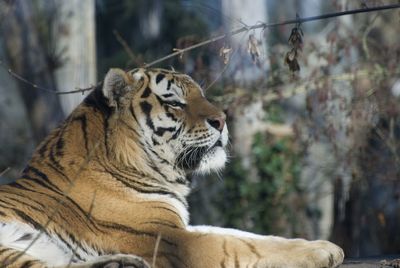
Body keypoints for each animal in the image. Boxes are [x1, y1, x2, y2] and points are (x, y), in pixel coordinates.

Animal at [0, 67, 344, 268]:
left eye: (201, 95)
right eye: (175, 103)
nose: (223, 120)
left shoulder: (179, 224)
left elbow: (249, 235)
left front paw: (325, 246)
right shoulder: (169, 239)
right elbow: (240, 245)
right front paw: (319, 254)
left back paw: (119, 263)